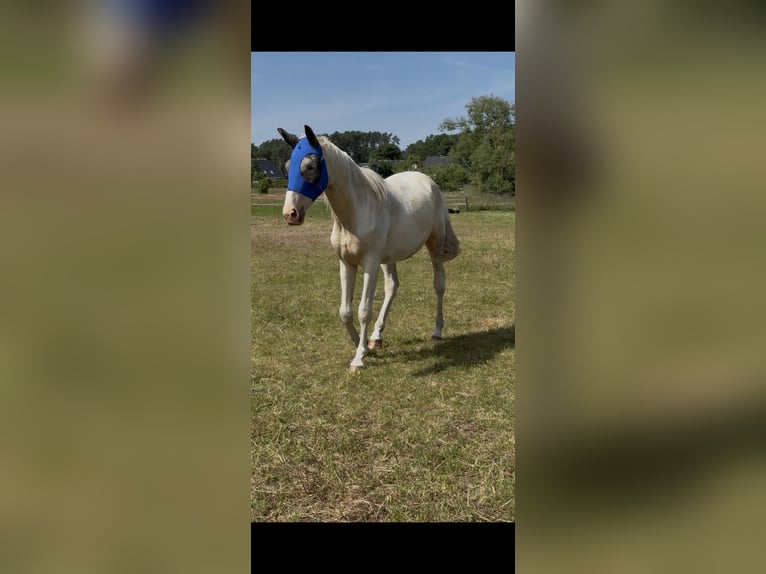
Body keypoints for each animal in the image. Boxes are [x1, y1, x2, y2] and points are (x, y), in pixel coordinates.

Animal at [278, 125, 460, 370]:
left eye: (310, 166)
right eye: (288, 167)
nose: (290, 214)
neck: (357, 213)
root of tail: (427, 181)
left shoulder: (370, 264)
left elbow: (363, 310)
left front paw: (359, 358)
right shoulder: (347, 264)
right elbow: (345, 312)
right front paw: (361, 344)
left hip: (435, 246)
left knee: (439, 285)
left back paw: (437, 331)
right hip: (389, 258)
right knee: (392, 287)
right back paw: (376, 337)